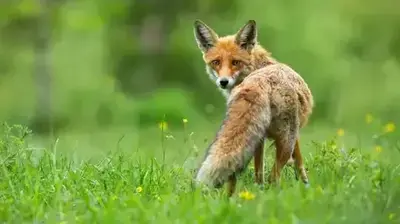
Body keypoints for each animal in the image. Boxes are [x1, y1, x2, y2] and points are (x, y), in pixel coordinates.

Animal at [193, 19, 312, 196]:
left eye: (236, 62)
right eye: (216, 62)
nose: (223, 82)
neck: (257, 67)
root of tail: (258, 84)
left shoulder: (260, 138)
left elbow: (260, 170)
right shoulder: (293, 133)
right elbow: (299, 162)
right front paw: (306, 186)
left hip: (253, 140)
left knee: (235, 175)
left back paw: (231, 199)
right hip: (285, 140)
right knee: (273, 177)